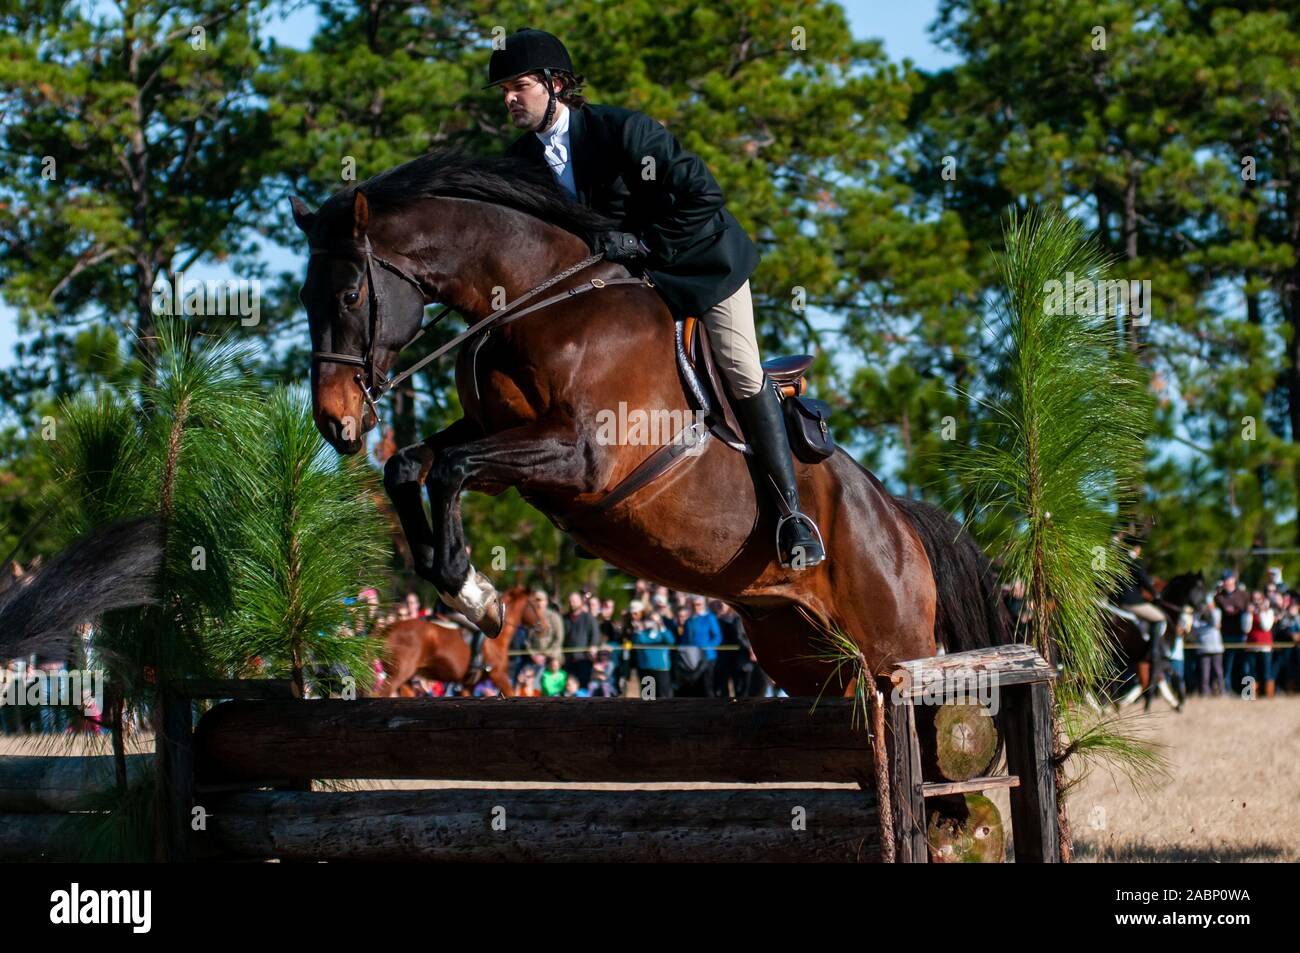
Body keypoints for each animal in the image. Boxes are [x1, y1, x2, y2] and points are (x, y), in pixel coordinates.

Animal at [377, 582, 538, 696]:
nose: (541, 626)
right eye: (536, 604)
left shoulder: (468, 685)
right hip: (399, 673)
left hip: (407, 679)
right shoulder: (499, 675)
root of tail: (386, 630)